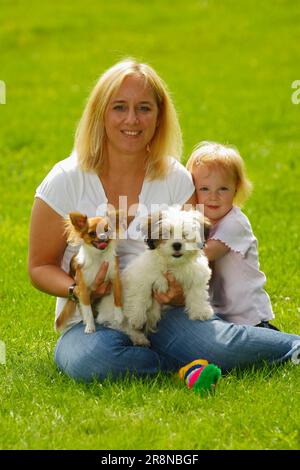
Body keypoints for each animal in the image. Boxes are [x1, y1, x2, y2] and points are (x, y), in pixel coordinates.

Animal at [122, 207, 213, 336]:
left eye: (185, 234)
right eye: (165, 234)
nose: (177, 245)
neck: (173, 264)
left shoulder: (197, 274)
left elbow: (197, 292)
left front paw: (200, 311)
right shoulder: (142, 273)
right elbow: (141, 293)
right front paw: (136, 317)